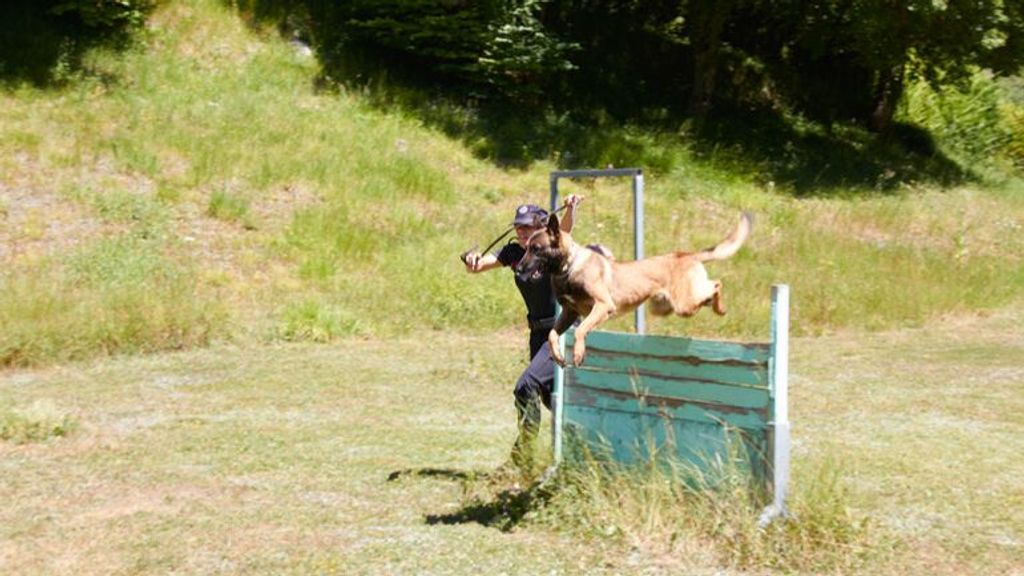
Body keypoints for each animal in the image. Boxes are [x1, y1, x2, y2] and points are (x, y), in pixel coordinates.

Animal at [520, 211, 753, 362]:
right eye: (527, 247)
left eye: (536, 249)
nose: (519, 268)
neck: (569, 267)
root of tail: (686, 254)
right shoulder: (569, 313)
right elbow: (552, 335)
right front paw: (558, 356)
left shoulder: (603, 306)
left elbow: (580, 331)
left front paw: (578, 354)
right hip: (667, 307)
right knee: (708, 293)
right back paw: (717, 307)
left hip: (683, 304)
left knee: (716, 284)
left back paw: (720, 308)